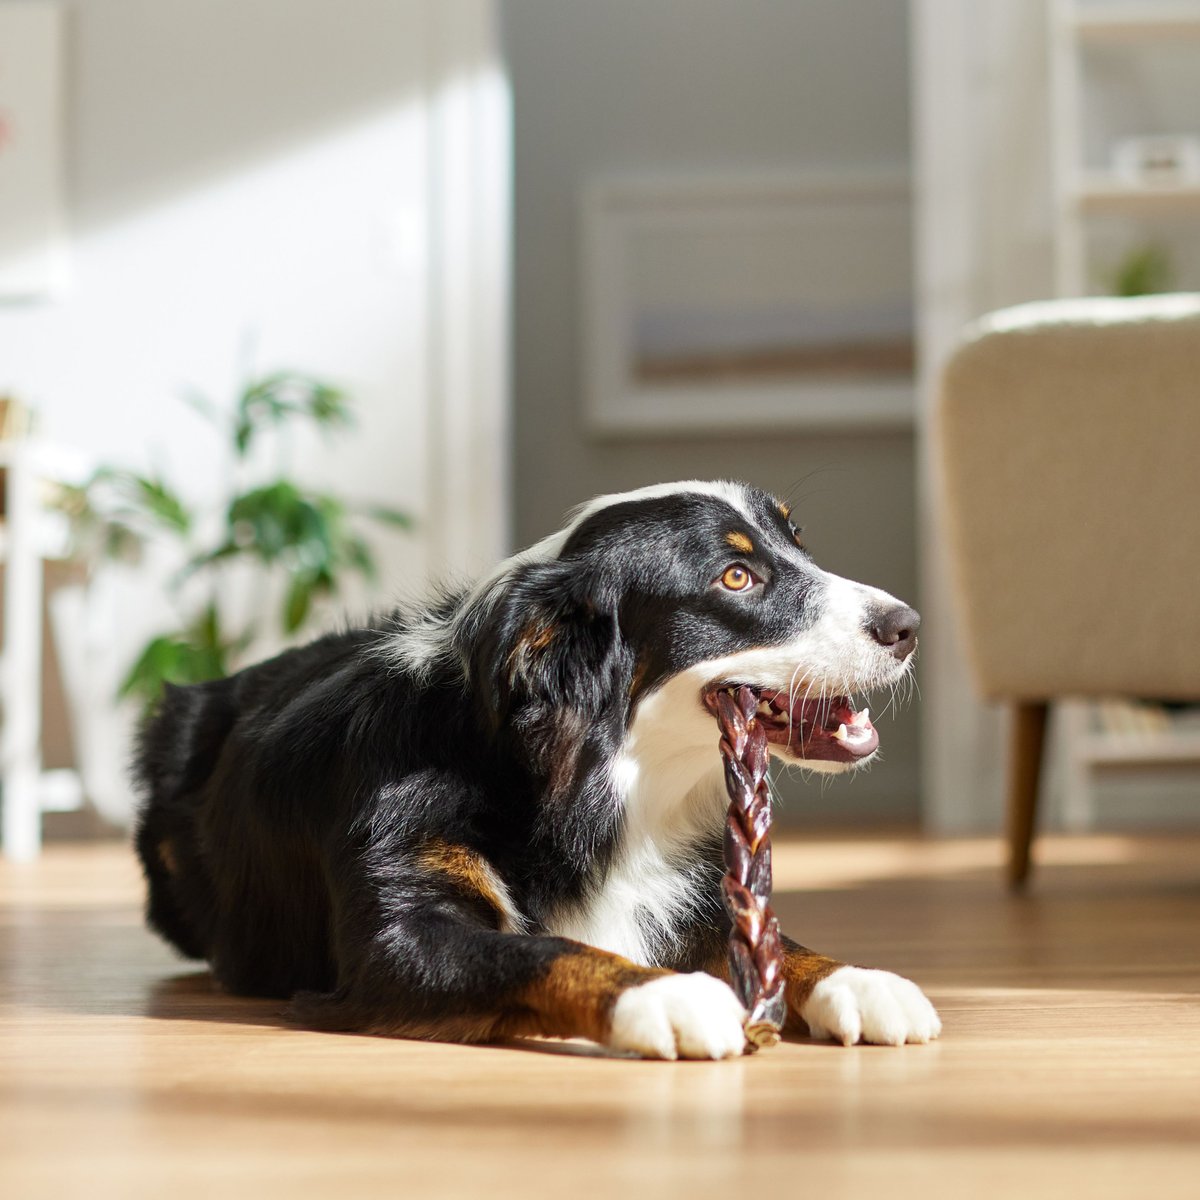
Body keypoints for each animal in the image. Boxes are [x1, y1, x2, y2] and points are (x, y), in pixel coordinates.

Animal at [136, 477, 940, 1060]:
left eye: (799, 542)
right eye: (736, 577)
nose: (909, 626)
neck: (596, 783)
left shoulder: (695, 895)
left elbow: (785, 946)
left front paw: (860, 980)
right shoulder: (401, 936)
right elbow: (548, 950)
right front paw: (663, 995)